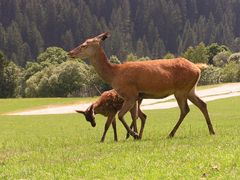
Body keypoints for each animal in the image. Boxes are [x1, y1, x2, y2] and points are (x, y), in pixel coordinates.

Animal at [68, 32, 216, 139]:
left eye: (84, 45)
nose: (70, 52)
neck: (114, 75)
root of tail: (197, 68)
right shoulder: (137, 96)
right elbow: (134, 116)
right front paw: (136, 135)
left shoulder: (130, 94)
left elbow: (121, 115)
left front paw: (134, 134)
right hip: (190, 89)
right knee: (202, 104)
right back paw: (211, 131)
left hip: (181, 90)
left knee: (185, 110)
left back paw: (171, 134)